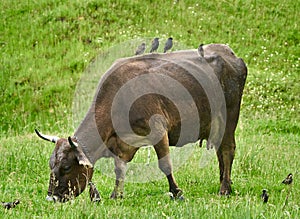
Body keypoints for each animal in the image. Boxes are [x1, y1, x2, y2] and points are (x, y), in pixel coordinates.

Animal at [35, 43, 246, 202]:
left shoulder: (159, 131)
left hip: (229, 117)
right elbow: (119, 169)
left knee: (227, 150)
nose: (51, 198)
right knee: (220, 151)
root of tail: (227, 52)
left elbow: (165, 165)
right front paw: (116, 195)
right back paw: (225, 183)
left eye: (66, 167)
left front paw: (177, 192)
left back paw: (224, 189)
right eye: (51, 164)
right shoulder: (122, 144)